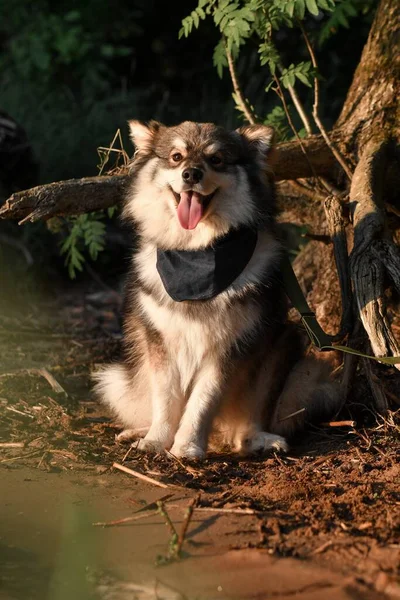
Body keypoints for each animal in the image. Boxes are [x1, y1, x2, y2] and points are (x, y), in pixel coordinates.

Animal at [94, 120, 340, 460]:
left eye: (217, 159)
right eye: (176, 157)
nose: (191, 174)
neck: (198, 252)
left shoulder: (229, 347)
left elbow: (203, 400)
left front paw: (187, 446)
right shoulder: (160, 343)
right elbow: (166, 399)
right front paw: (157, 440)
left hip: (293, 354)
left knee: (245, 431)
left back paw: (259, 439)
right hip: (118, 381)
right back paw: (137, 431)